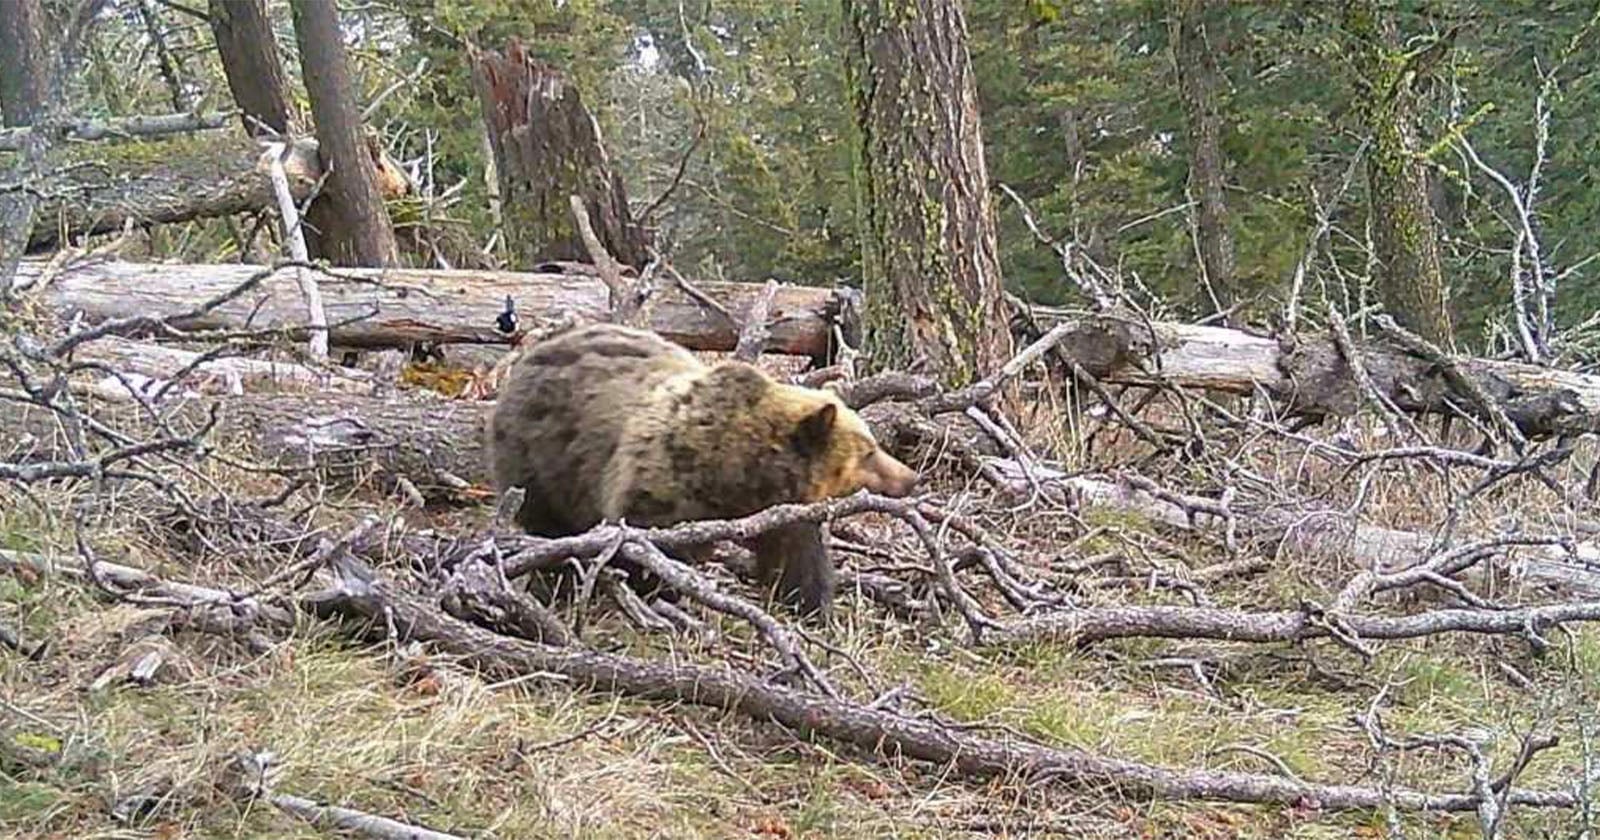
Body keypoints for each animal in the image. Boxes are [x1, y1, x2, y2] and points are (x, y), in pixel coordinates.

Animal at [485, 322, 920, 618]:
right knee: (547, 520)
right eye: (869, 451)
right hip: (541, 458)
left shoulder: (784, 515)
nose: (911, 478)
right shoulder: (662, 486)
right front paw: (658, 592)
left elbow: (797, 560)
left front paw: (809, 604)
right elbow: (648, 547)